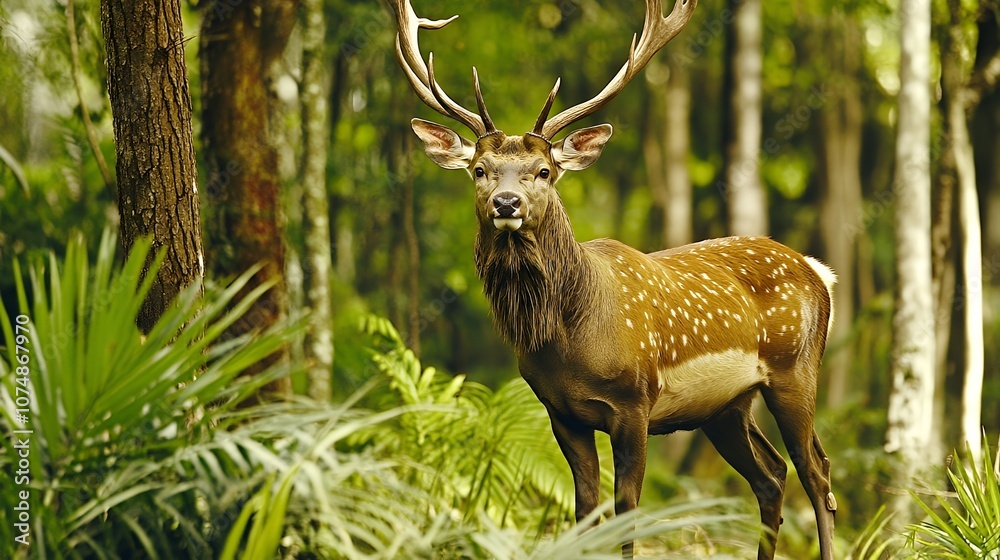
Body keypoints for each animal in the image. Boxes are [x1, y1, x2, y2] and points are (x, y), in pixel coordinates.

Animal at [386, 0, 838, 558]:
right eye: (479, 169)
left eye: (544, 171)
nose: (506, 203)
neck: (569, 338)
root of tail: (819, 270)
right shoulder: (562, 413)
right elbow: (585, 511)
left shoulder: (635, 402)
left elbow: (627, 513)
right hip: (726, 407)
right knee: (771, 475)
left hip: (796, 369)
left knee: (816, 473)